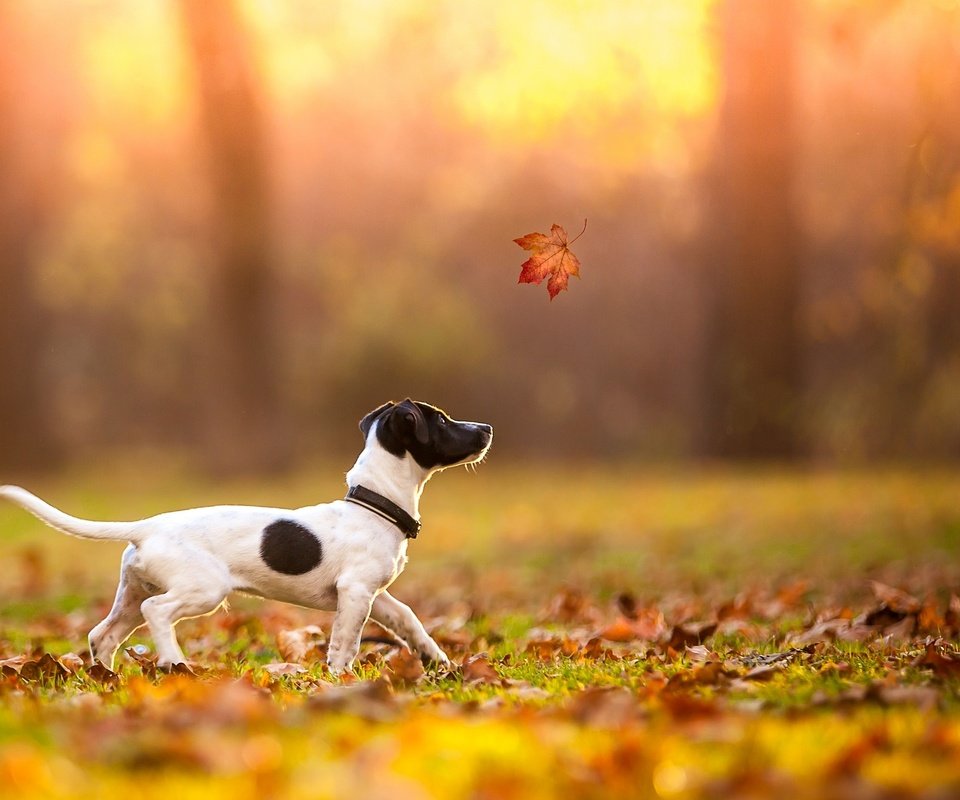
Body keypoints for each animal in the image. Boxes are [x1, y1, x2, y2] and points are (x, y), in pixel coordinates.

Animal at [0, 400, 492, 676]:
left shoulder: (374, 593)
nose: (487, 428)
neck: (374, 503)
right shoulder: (355, 593)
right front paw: (339, 678)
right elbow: (345, 643)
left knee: (103, 634)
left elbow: (408, 619)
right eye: (442, 421)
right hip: (202, 589)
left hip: (132, 592)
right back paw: (174, 662)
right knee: (157, 612)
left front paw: (437, 660)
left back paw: (108, 679)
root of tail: (148, 526)